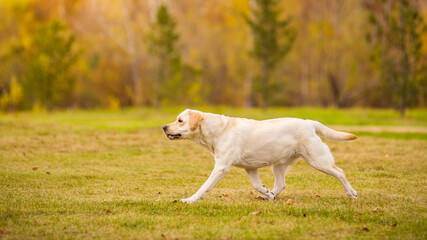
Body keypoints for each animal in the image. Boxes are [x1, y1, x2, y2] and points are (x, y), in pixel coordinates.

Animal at [164, 109, 358, 203]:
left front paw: (190, 200)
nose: (164, 127)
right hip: (278, 165)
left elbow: (204, 187)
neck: (218, 130)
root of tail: (309, 122)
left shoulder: (221, 167)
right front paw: (267, 193)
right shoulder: (250, 168)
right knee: (280, 184)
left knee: (340, 172)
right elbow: (257, 185)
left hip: (318, 159)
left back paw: (351, 193)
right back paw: (269, 196)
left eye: (180, 120)